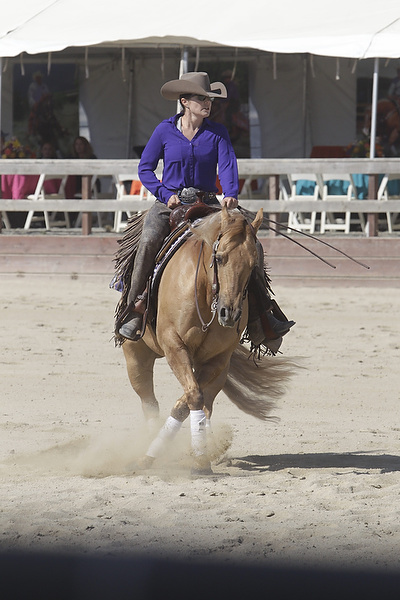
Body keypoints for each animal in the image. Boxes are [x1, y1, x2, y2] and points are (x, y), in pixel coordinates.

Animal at [119, 206, 295, 475]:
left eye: (253, 264)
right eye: (219, 258)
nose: (229, 313)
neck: (204, 292)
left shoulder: (217, 359)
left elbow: (191, 401)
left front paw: (201, 458)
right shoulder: (174, 346)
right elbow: (192, 396)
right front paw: (153, 456)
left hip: (217, 370)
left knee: (206, 403)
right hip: (136, 357)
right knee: (149, 403)